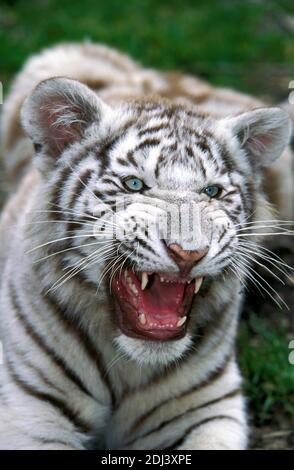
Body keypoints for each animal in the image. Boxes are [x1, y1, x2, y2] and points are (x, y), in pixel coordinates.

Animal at [0, 42, 292, 450]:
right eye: (135, 185)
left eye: (212, 192)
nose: (188, 253)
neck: (127, 365)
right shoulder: (32, 413)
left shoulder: (207, 407)